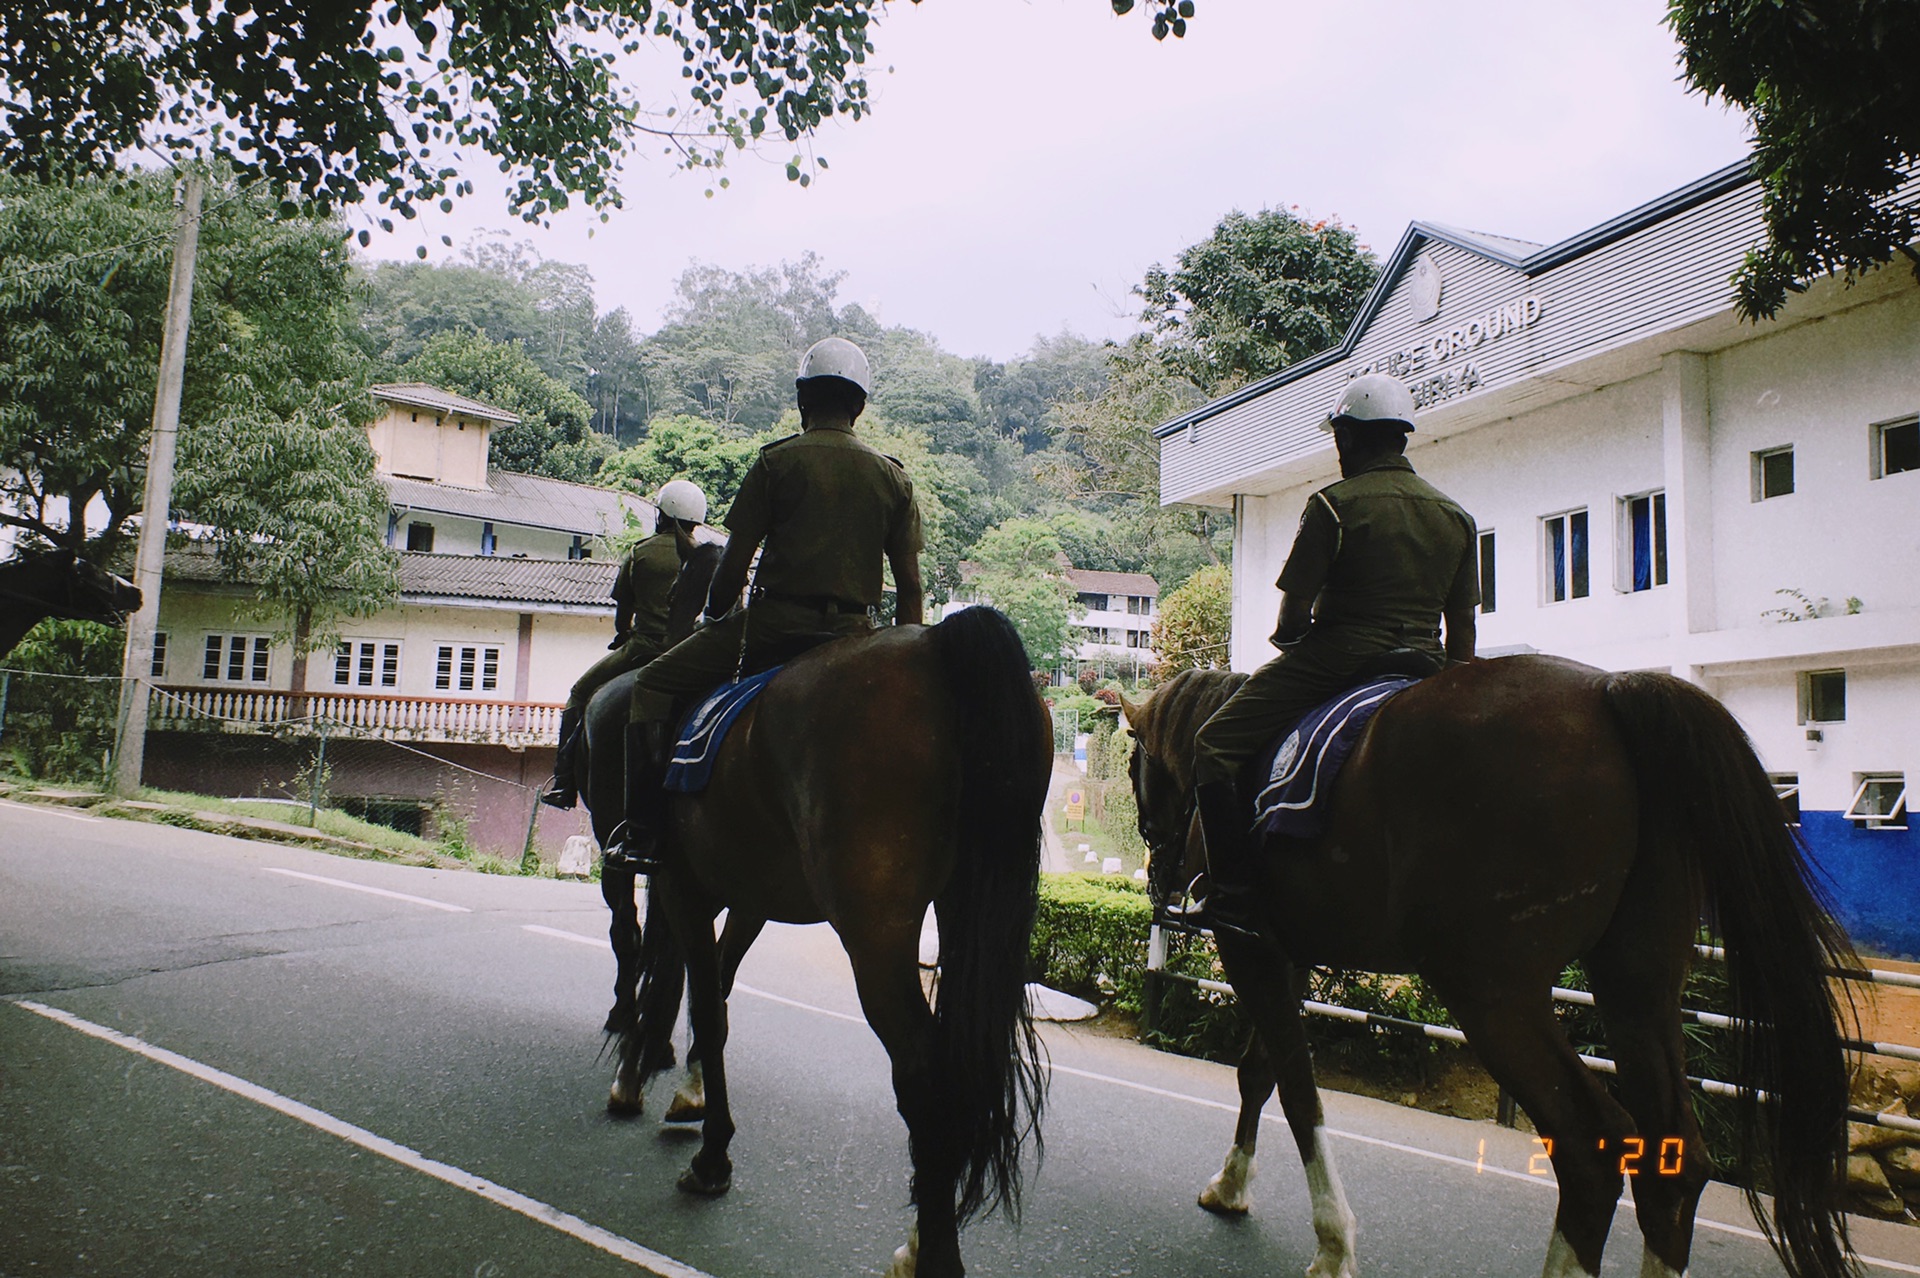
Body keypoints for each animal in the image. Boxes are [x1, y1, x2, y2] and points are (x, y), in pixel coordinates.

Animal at [618, 598, 1052, 1274]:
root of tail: (938, 647)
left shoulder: (680, 885)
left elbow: (706, 1006)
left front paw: (710, 1152)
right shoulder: (745, 897)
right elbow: (713, 989)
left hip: (875, 928)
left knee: (921, 1066)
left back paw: (935, 1252)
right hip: (965, 910)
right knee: (953, 1059)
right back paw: (925, 1234)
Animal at [1121, 656, 1858, 1274]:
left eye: (1133, 772)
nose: (1161, 872)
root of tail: (1608, 690)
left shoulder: (1248, 946)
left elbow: (1299, 1092)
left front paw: (1332, 1242)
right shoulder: (1283, 951)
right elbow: (1260, 1073)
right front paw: (1231, 1184)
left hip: (1491, 991)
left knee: (1589, 1145)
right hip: (1638, 984)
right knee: (1673, 1157)